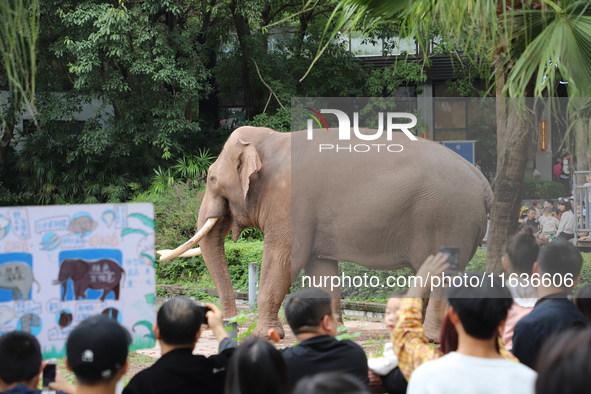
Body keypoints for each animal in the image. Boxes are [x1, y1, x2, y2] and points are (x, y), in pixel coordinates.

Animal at [160, 127, 492, 338]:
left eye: (211, 179)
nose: (231, 326)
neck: (272, 139)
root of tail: (483, 181)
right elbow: (320, 269)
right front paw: (335, 331)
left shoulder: (290, 203)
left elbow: (284, 260)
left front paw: (266, 335)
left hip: (448, 219)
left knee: (444, 275)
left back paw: (433, 338)